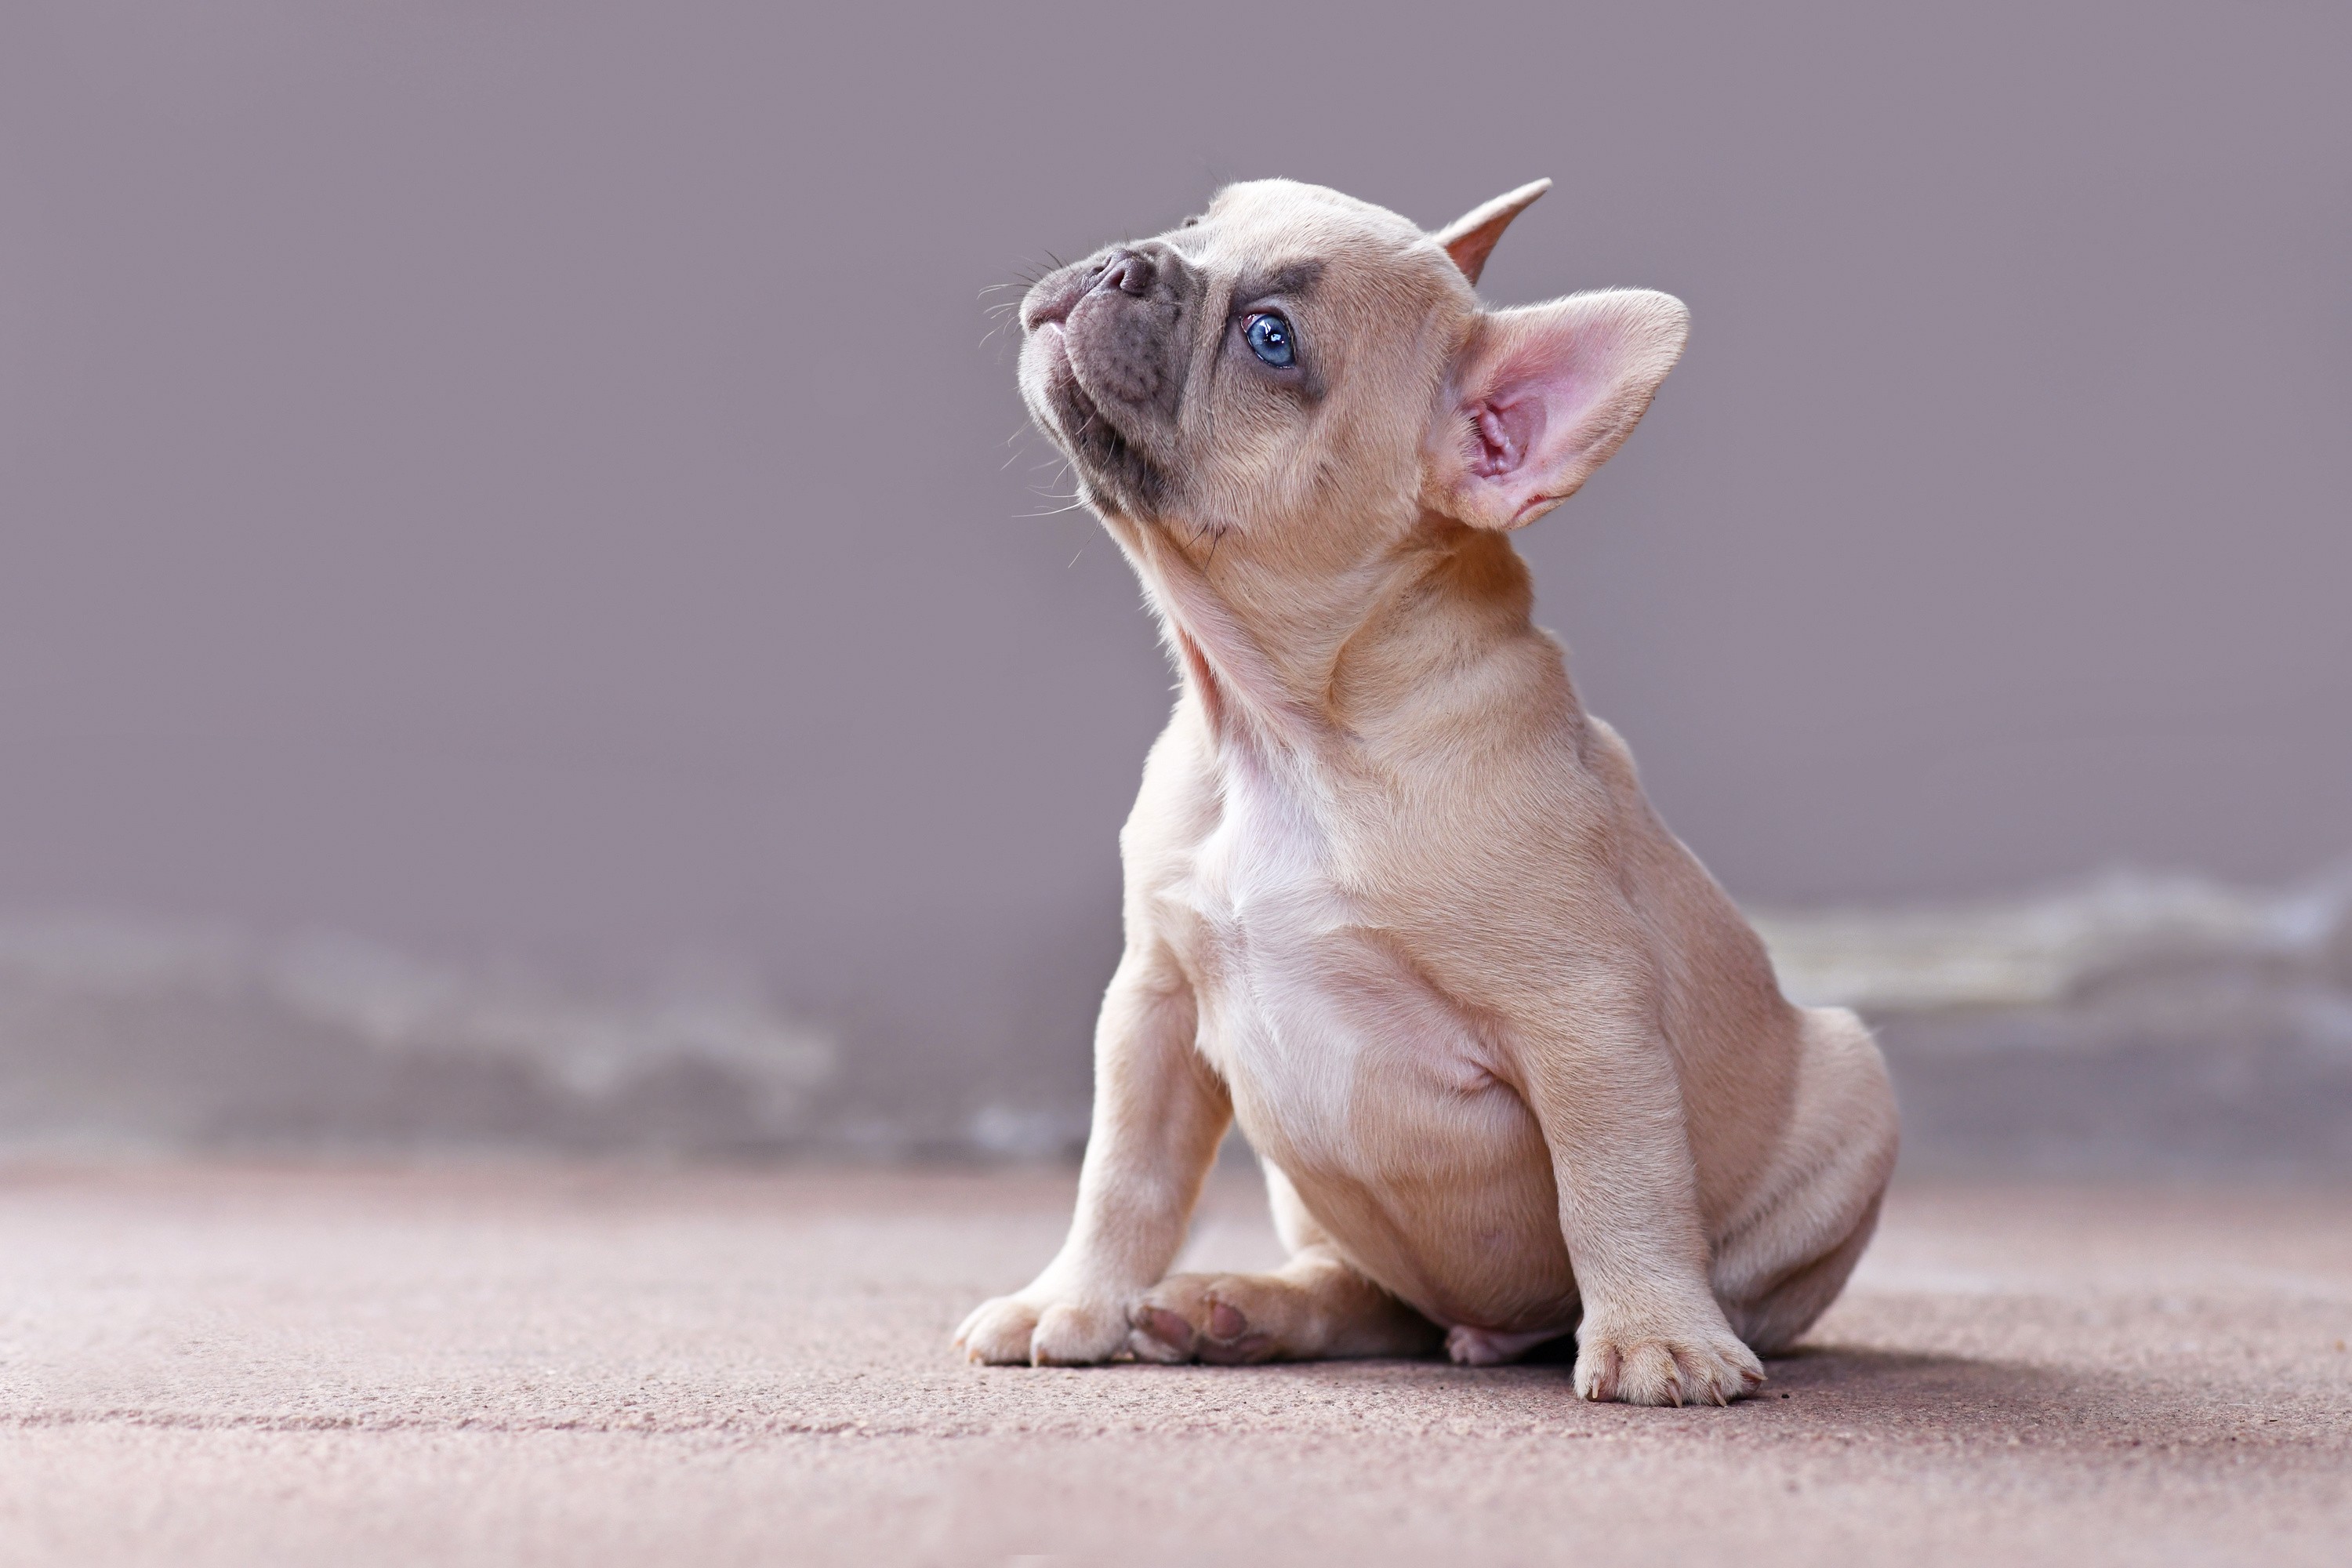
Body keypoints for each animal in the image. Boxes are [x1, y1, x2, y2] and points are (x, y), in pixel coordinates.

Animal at [950, 177, 1891, 1401]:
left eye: (1271, 339)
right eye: (1201, 224)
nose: (1127, 260)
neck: (1290, 734)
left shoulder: (1586, 1018)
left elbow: (1618, 1186)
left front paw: (1657, 1334)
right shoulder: (1152, 1005)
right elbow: (1125, 1175)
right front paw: (1073, 1298)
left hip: (1852, 1088)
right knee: (1364, 1292)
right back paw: (1239, 1307)